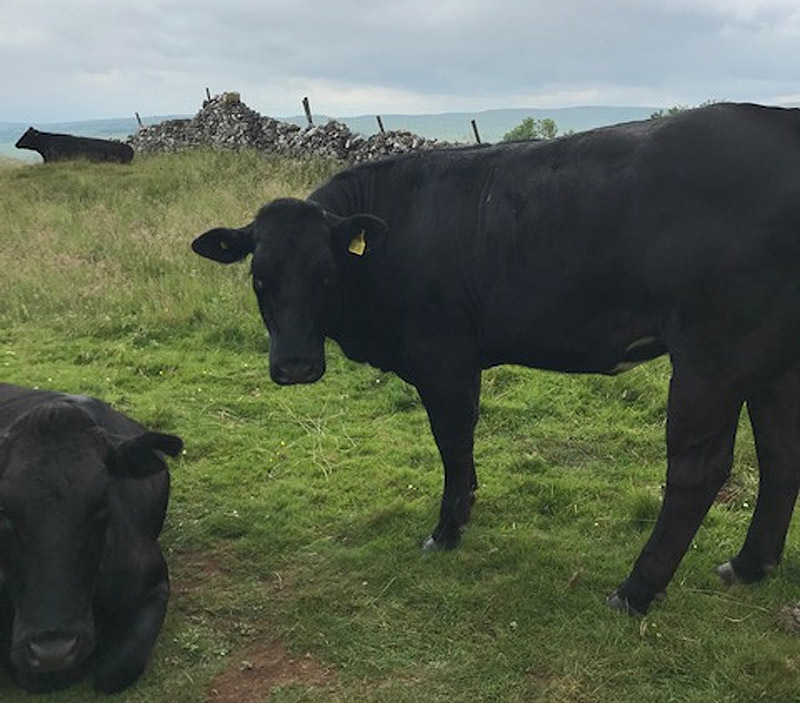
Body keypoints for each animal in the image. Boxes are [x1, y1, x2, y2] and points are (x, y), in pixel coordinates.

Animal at [192, 102, 800, 620]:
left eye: (325, 274)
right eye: (259, 277)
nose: (295, 366)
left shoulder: (443, 357)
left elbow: (453, 441)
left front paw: (446, 531)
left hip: (712, 352)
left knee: (699, 469)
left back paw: (634, 591)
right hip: (771, 360)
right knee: (780, 450)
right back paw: (749, 566)